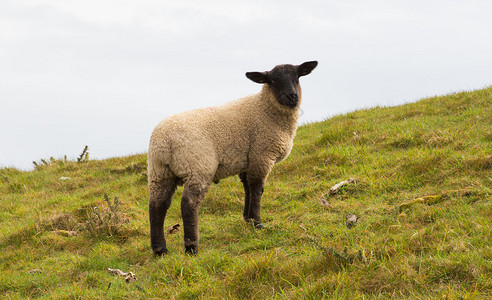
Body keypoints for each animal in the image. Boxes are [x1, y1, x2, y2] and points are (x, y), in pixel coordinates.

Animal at [149, 61, 320, 255]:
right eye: (272, 81)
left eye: (297, 76)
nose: (292, 96)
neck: (265, 108)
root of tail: (164, 142)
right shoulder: (262, 155)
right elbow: (257, 189)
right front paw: (258, 223)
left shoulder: (248, 160)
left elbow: (247, 188)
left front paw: (248, 219)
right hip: (198, 167)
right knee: (189, 204)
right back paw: (191, 248)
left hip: (160, 173)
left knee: (157, 206)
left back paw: (160, 250)